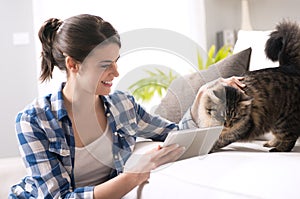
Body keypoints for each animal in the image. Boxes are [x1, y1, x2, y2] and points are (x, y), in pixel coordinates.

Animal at [196, 20, 300, 152]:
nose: (227, 125)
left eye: (234, 118)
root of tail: (290, 67)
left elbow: (218, 141)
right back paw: (271, 143)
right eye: (221, 116)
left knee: (289, 138)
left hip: (284, 121)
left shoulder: (239, 130)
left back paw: (277, 149)